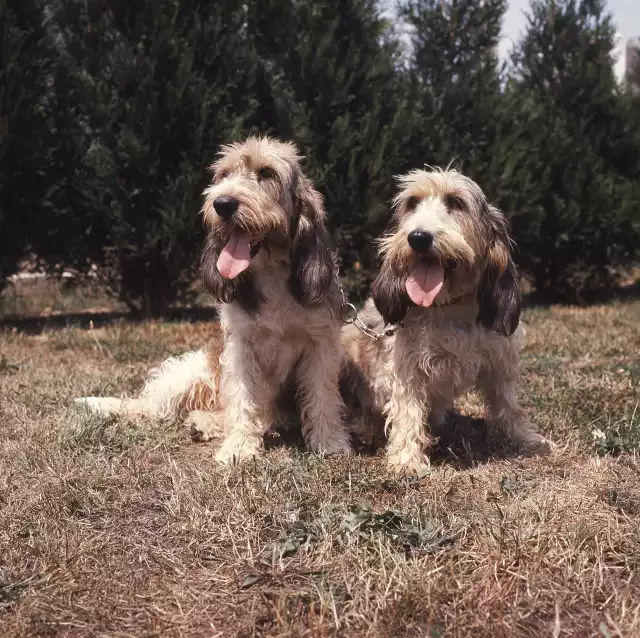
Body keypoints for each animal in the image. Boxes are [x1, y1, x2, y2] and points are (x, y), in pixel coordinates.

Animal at [79, 136, 356, 464]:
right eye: (223, 175)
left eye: (266, 173)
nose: (222, 204)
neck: (272, 275)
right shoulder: (240, 347)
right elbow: (242, 398)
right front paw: (239, 447)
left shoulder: (321, 346)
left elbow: (322, 396)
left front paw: (330, 441)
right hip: (188, 373)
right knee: (154, 406)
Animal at [338, 169, 548, 476]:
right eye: (412, 203)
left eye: (456, 202)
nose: (418, 238)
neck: (449, 307)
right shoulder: (406, 368)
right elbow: (408, 410)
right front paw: (407, 460)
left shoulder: (501, 360)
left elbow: (508, 403)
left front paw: (523, 437)